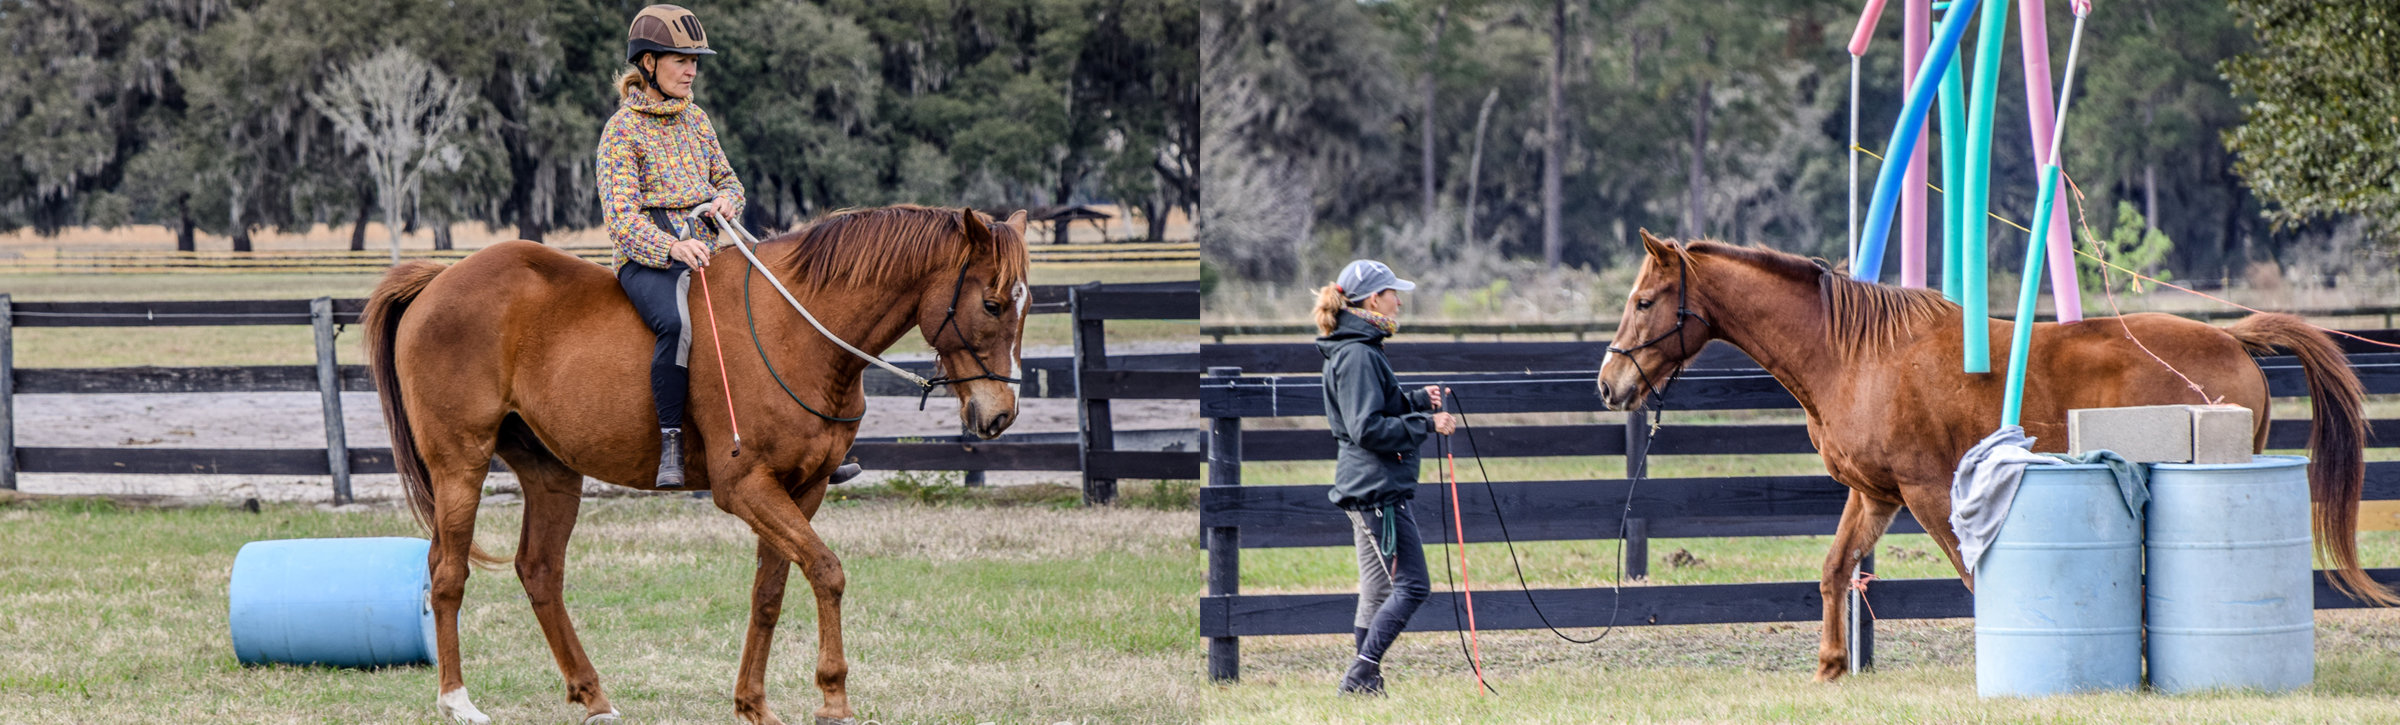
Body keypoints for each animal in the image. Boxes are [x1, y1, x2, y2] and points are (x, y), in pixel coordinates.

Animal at [362, 205, 1032, 725]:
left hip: (552, 472)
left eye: (1025, 307)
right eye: (993, 304)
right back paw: (457, 700)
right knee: (447, 573)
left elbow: (770, 592)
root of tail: (438, 280)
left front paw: (752, 703)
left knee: (540, 571)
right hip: (461, 464)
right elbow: (827, 570)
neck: (798, 332)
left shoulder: (803, 489)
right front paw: (833, 697)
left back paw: (594, 696)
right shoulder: (747, 489)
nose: (999, 415)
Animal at [1596, 229, 2393, 682]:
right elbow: (1835, 571)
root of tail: (2232, 336)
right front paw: (1830, 666)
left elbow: (1972, 574)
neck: (1854, 353)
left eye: (1644, 301)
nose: (1609, 383)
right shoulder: (1875, 495)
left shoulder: (1926, 492)